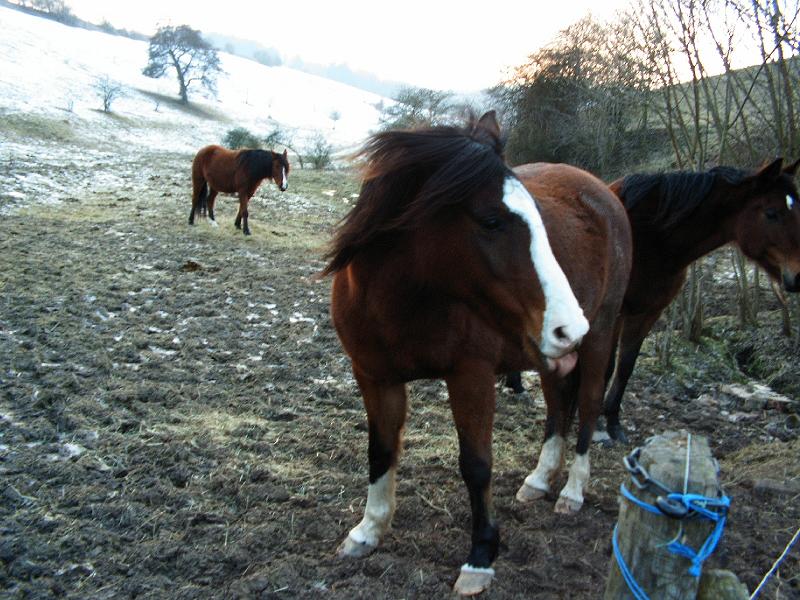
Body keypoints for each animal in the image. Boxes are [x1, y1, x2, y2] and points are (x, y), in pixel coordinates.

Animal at [324, 112, 632, 596]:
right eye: (491, 221)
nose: (570, 327)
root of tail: (604, 194)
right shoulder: (374, 377)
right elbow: (381, 450)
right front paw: (368, 530)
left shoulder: (471, 376)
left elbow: (477, 465)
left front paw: (481, 557)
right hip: (550, 356)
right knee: (557, 408)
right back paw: (539, 479)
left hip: (599, 338)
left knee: (586, 406)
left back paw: (572, 491)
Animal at [600, 158, 800, 440]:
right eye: (771, 213)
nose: (798, 275)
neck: (649, 236)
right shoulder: (615, 312)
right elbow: (607, 365)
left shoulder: (647, 312)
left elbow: (625, 365)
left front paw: (612, 422)